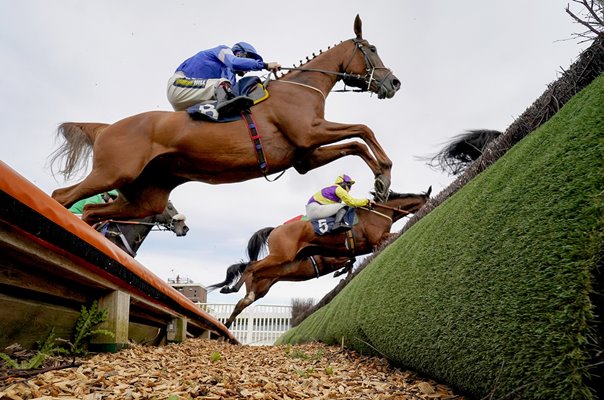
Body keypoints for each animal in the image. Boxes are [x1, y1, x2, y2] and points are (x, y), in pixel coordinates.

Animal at [50, 14, 402, 223]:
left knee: (91, 211)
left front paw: (381, 184)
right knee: (61, 197)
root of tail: (107, 128)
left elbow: (356, 144)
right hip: (113, 172)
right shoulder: (309, 132)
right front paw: (384, 175)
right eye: (371, 48)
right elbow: (363, 131)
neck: (300, 88)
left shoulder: (305, 156)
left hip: (145, 198)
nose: (394, 83)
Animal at [210, 188, 432, 328]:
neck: (377, 213)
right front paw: (342, 275)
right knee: (251, 266)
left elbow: (351, 262)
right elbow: (359, 255)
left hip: (268, 280)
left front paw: (343, 276)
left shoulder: (354, 249)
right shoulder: (375, 241)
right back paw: (231, 290)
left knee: (244, 299)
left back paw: (228, 323)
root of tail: (276, 229)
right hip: (280, 256)